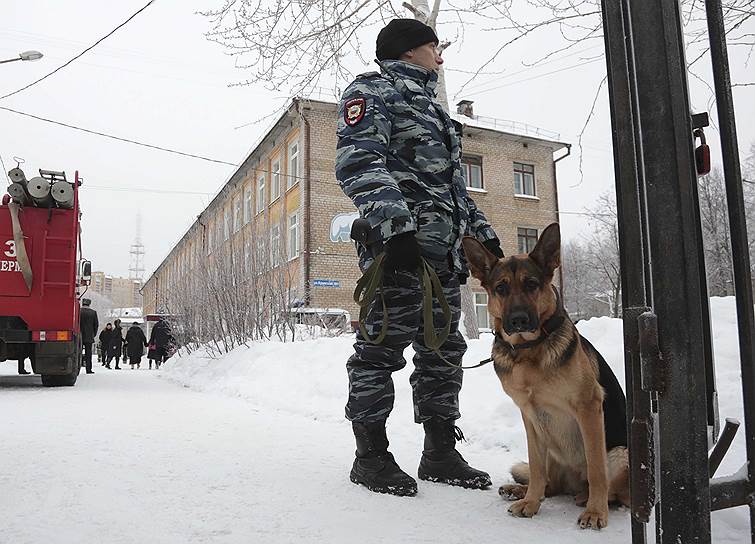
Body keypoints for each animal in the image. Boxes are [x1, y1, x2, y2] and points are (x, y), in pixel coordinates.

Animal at [460, 223, 632, 528]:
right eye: (501, 288)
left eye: (531, 284)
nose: (517, 320)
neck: (528, 351)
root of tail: (574, 484)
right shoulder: (529, 416)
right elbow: (536, 467)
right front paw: (530, 503)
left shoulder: (588, 408)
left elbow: (597, 469)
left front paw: (596, 512)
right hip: (550, 444)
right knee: (549, 483)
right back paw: (522, 491)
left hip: (620, 453)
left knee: (612, 490)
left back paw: (588, 499)